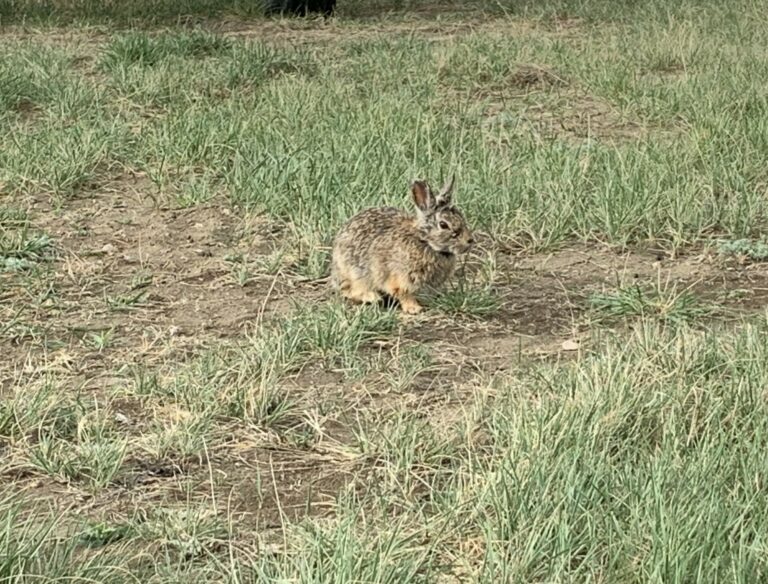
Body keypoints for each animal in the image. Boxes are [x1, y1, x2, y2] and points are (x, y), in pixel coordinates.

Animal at [330, 177, 474, 314]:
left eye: (461, 216)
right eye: (443, 225)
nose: (470, 240)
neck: (425, 242)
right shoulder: (400, 278)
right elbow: (404, 294)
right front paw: (414, 308)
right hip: (354, 273)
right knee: (350, 290)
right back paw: (372, 297)